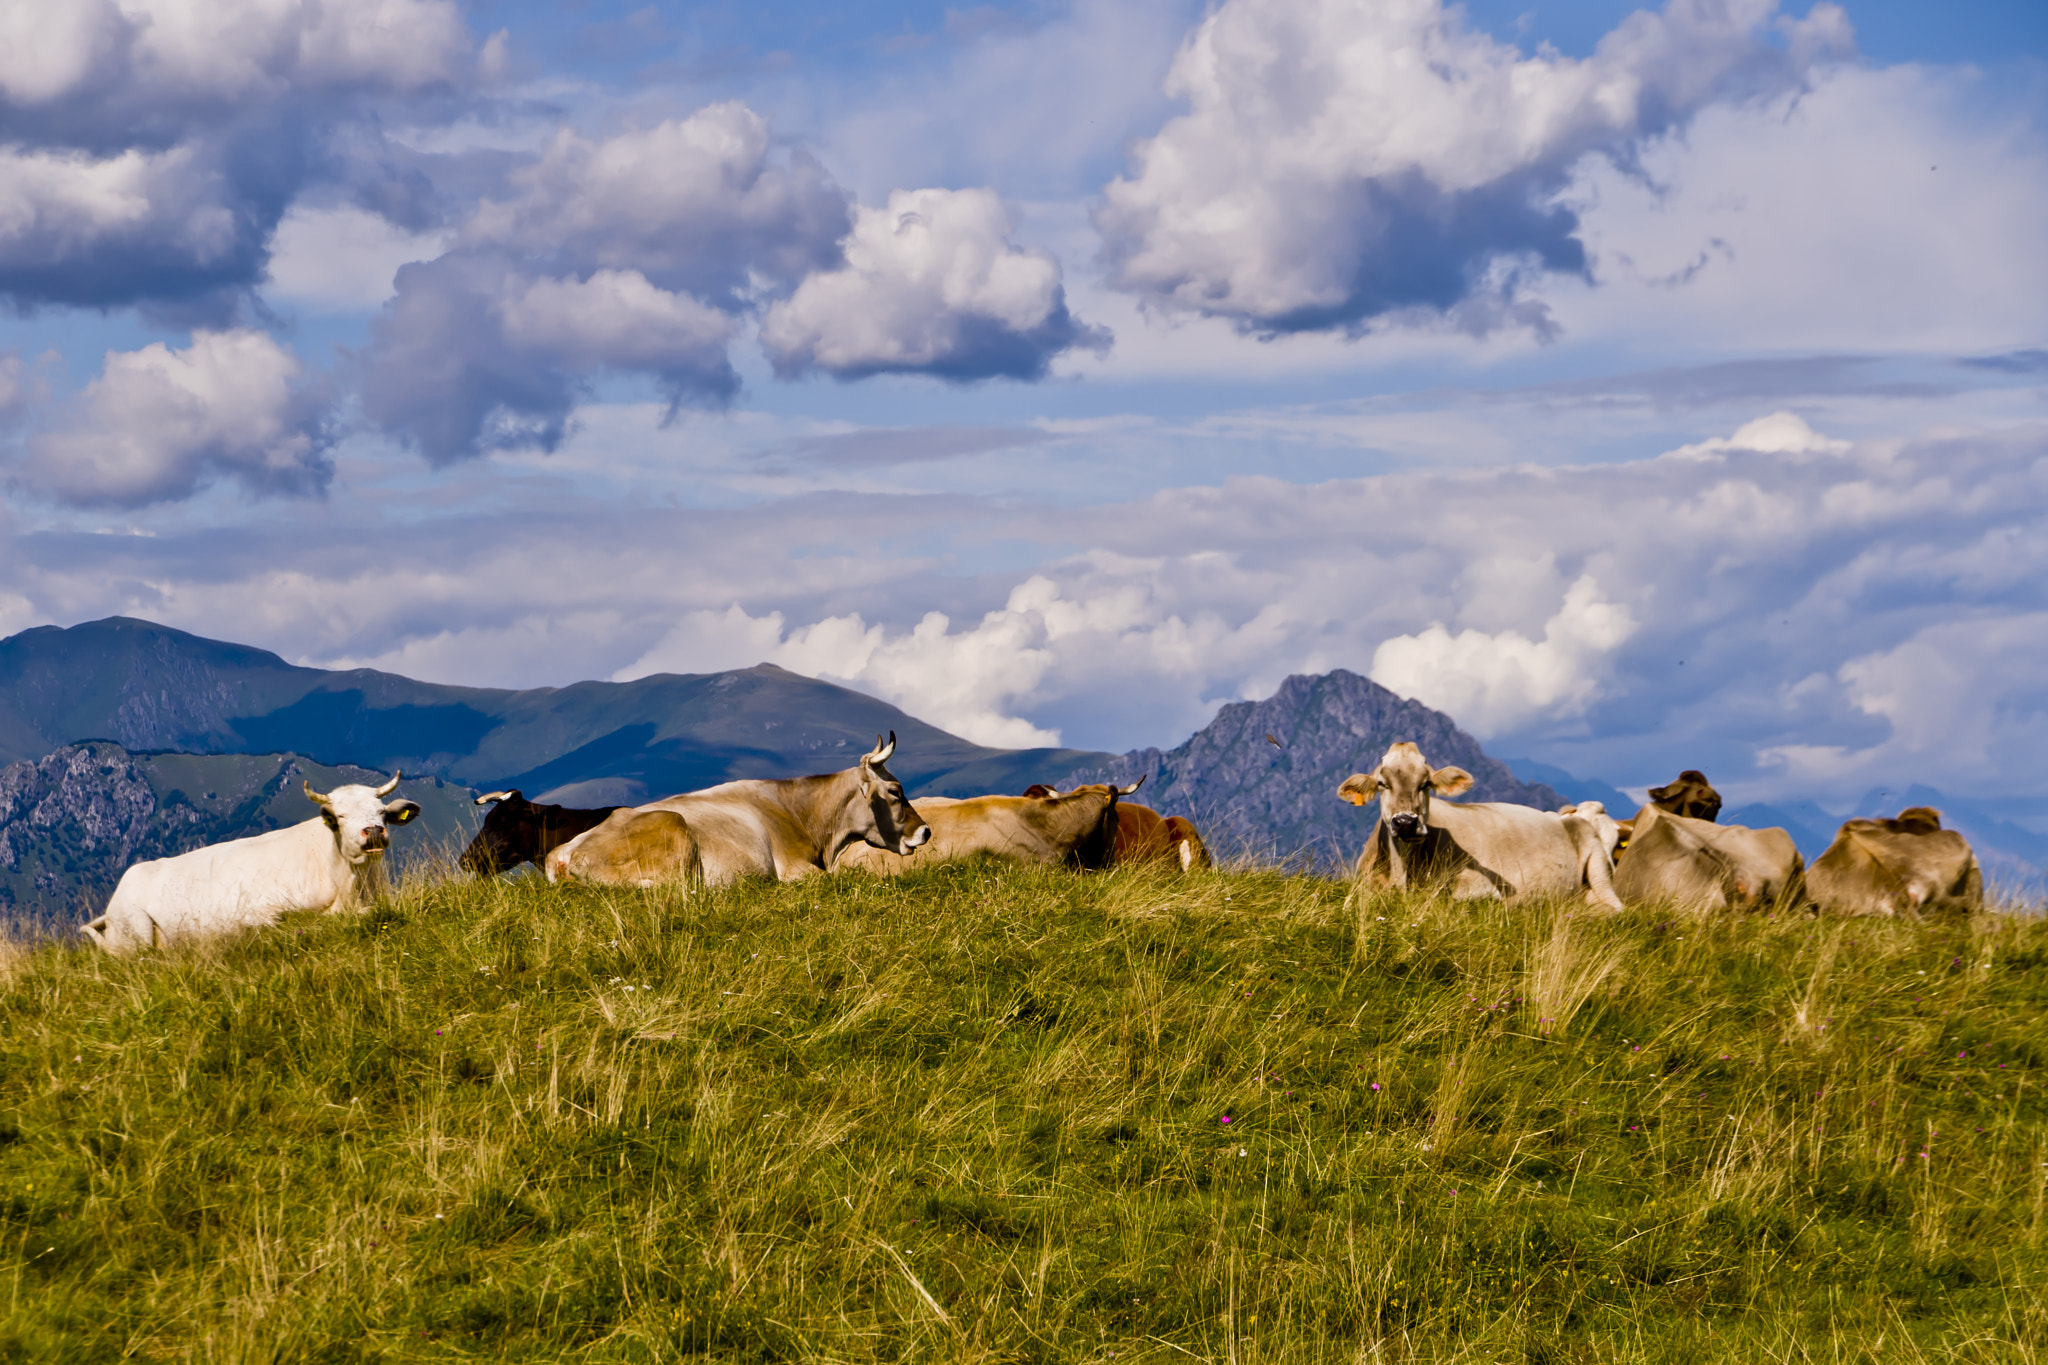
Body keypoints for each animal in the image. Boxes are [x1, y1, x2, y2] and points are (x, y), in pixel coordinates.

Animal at [81, 773, 421, 954]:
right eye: (339, 816)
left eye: (381, 811)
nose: (373, 832)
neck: (350, 886)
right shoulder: (258, 914)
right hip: (135, 931)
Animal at [1338, 743, 1623, 911]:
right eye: (1382, 783)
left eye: (1426, 784)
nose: (1406, 822)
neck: (1401, 876)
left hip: (1597, 859)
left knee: (1615, 907)